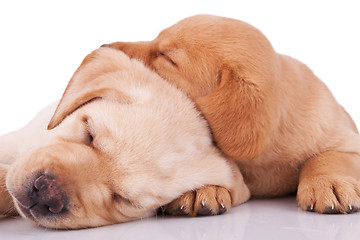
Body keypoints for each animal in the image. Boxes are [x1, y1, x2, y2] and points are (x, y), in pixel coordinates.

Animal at [102, 15, 360, 214]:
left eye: (167, 57)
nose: (104, 47)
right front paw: (200, 188)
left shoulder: (348, 142)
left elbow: (326, 157)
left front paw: (329, 184)